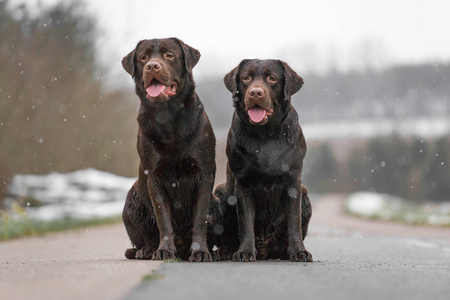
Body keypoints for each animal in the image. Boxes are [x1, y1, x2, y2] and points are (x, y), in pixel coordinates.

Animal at [121, 38, 216, 262]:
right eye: (143, 57)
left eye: (169, 55)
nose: (152, 66)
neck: (168, 119)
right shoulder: (155, 178)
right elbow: (163, 220)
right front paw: (164, 251)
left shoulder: (204, 175)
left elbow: (199, 220)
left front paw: (200, 252)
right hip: (131, 202)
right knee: (144, 237)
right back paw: (146, 250)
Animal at [208, 59, 312, 262]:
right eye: (246, 78)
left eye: (272, 78)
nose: (255, 92)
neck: (264, 136)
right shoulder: (243, 182)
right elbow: (246, 222)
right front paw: (245, 251)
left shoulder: (293, 181)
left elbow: (294, 222)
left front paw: (299, 251)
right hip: (220, 192)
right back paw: (225, 251)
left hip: (305, 194)